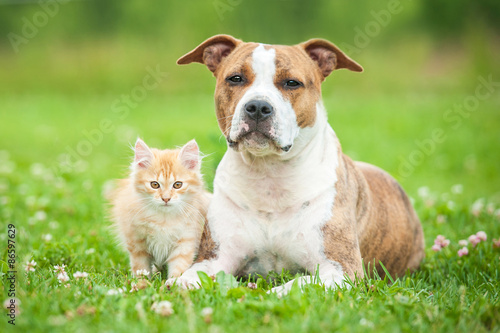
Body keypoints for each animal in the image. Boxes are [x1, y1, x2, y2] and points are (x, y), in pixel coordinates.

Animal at [108, 137, 210, 278]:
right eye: (154, 185)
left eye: (177, 185)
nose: (166, 198)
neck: (164, 220)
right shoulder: (136, 242)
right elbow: (140, 267)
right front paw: (141, 281)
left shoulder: (186, 239)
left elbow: (179, 265)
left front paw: (174, 282)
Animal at [166, 33, 424, 294]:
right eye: (236, 78)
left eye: (292, 83)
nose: (257, 107)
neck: (269, 175)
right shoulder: (215, 257)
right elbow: (190, 277)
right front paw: (178, 284)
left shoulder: (342, 269)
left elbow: (297, 284)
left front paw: (271, 294)